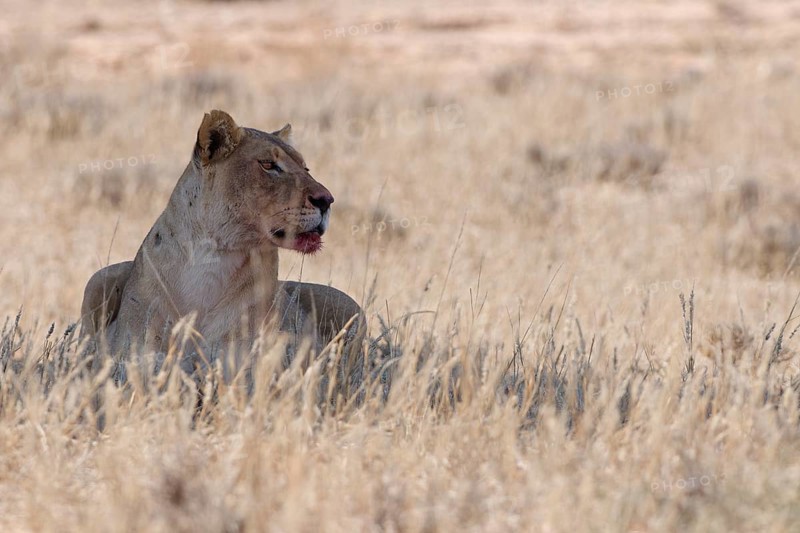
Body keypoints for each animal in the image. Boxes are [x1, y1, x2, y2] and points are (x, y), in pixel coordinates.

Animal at [80, 110, 365, 391]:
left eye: (306, 168)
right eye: (268, 165)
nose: (326, 200)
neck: (213, 257)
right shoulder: (134, 353)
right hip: (99, 277)